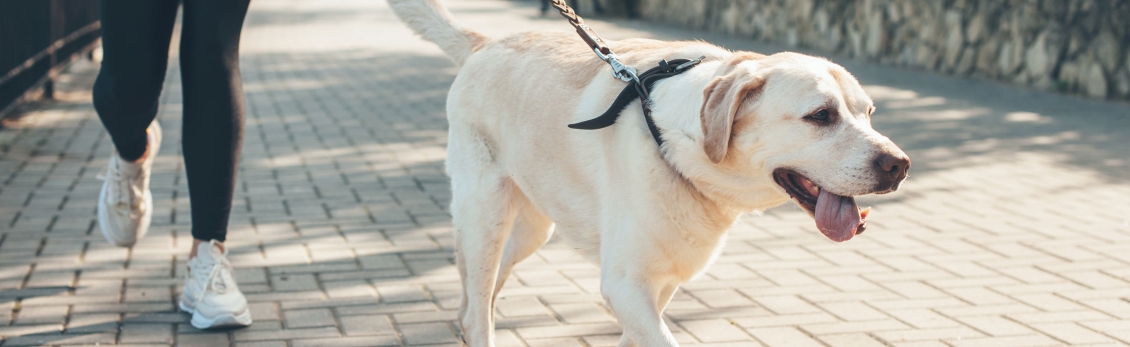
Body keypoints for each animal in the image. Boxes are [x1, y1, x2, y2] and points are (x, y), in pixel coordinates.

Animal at [388, 1, 908, 345]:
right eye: (821, 115)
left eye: (869, 113)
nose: (899, 166)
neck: (677, 146)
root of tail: (486, 43)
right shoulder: (624, 283)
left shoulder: (661, 283)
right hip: (486, 215)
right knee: (478, 307)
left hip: (533, 229)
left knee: (478, 293)